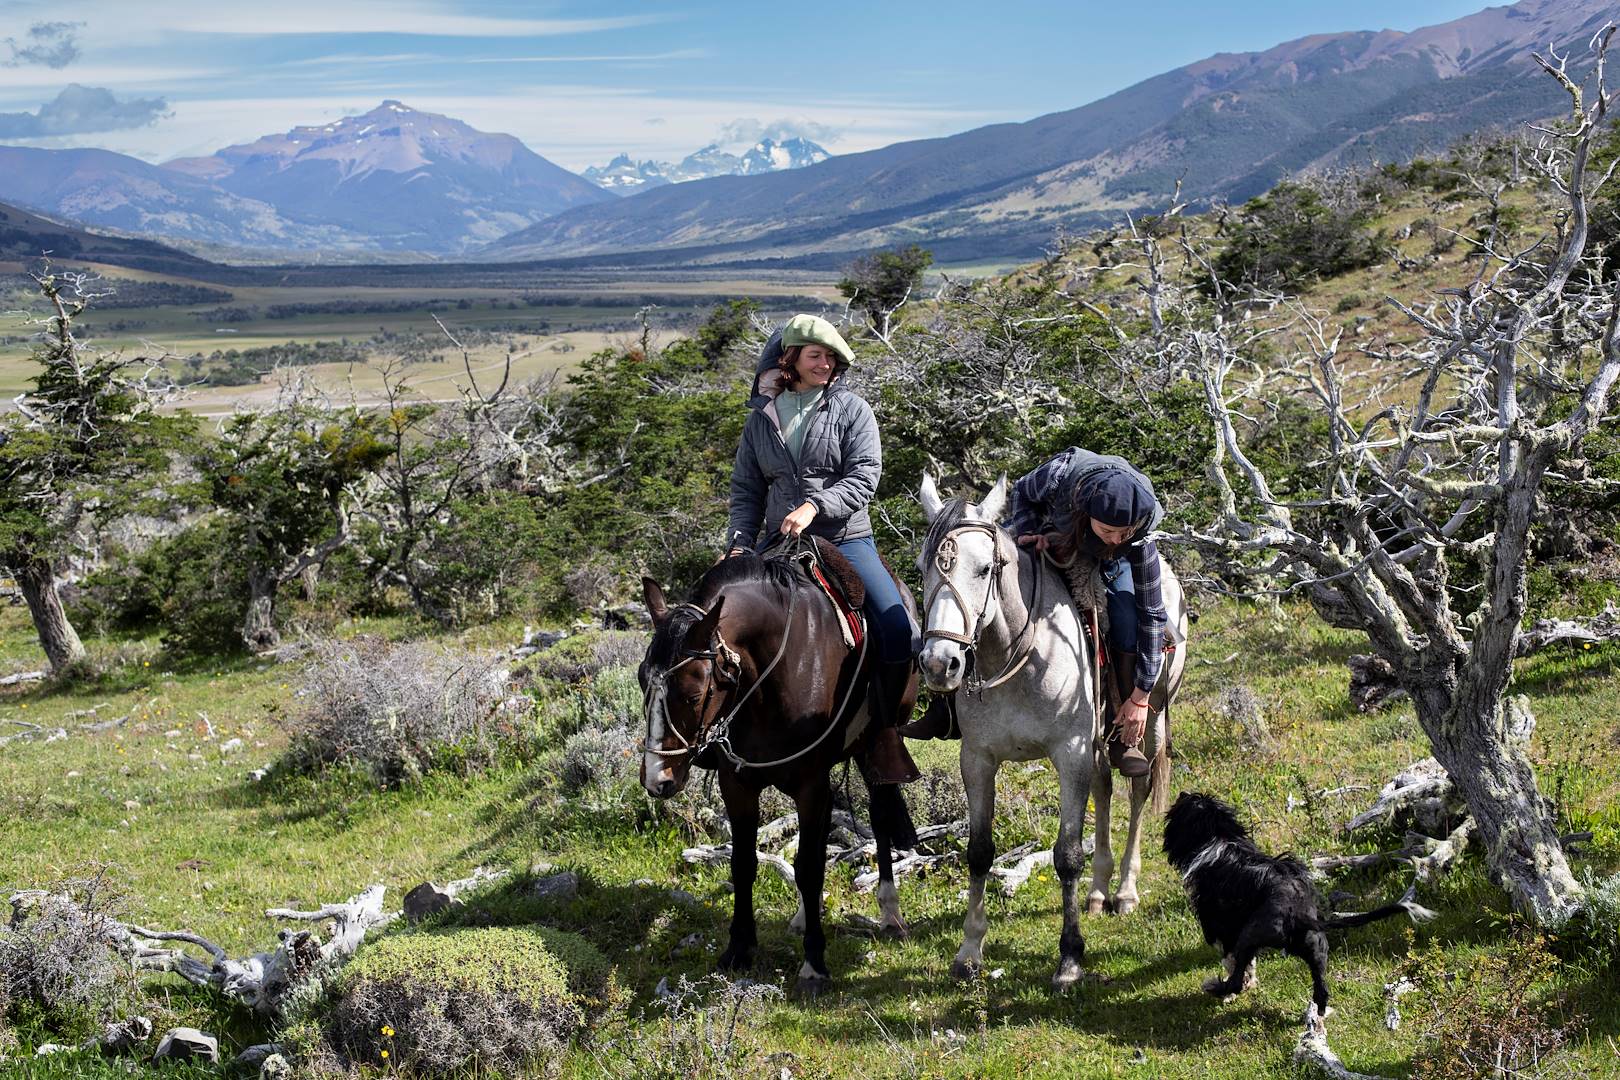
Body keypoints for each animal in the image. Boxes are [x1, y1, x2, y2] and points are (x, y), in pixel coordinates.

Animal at [639, 546, 918, 995]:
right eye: (641, 680)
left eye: (694, 693)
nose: (656, 779)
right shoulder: (737, 783)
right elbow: (744, 863)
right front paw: (738, 950)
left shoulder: (810, 783)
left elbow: (808, 868)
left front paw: (814, 964)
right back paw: (806, 914)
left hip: (871, 752)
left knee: (877, 818)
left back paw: (890, 914)